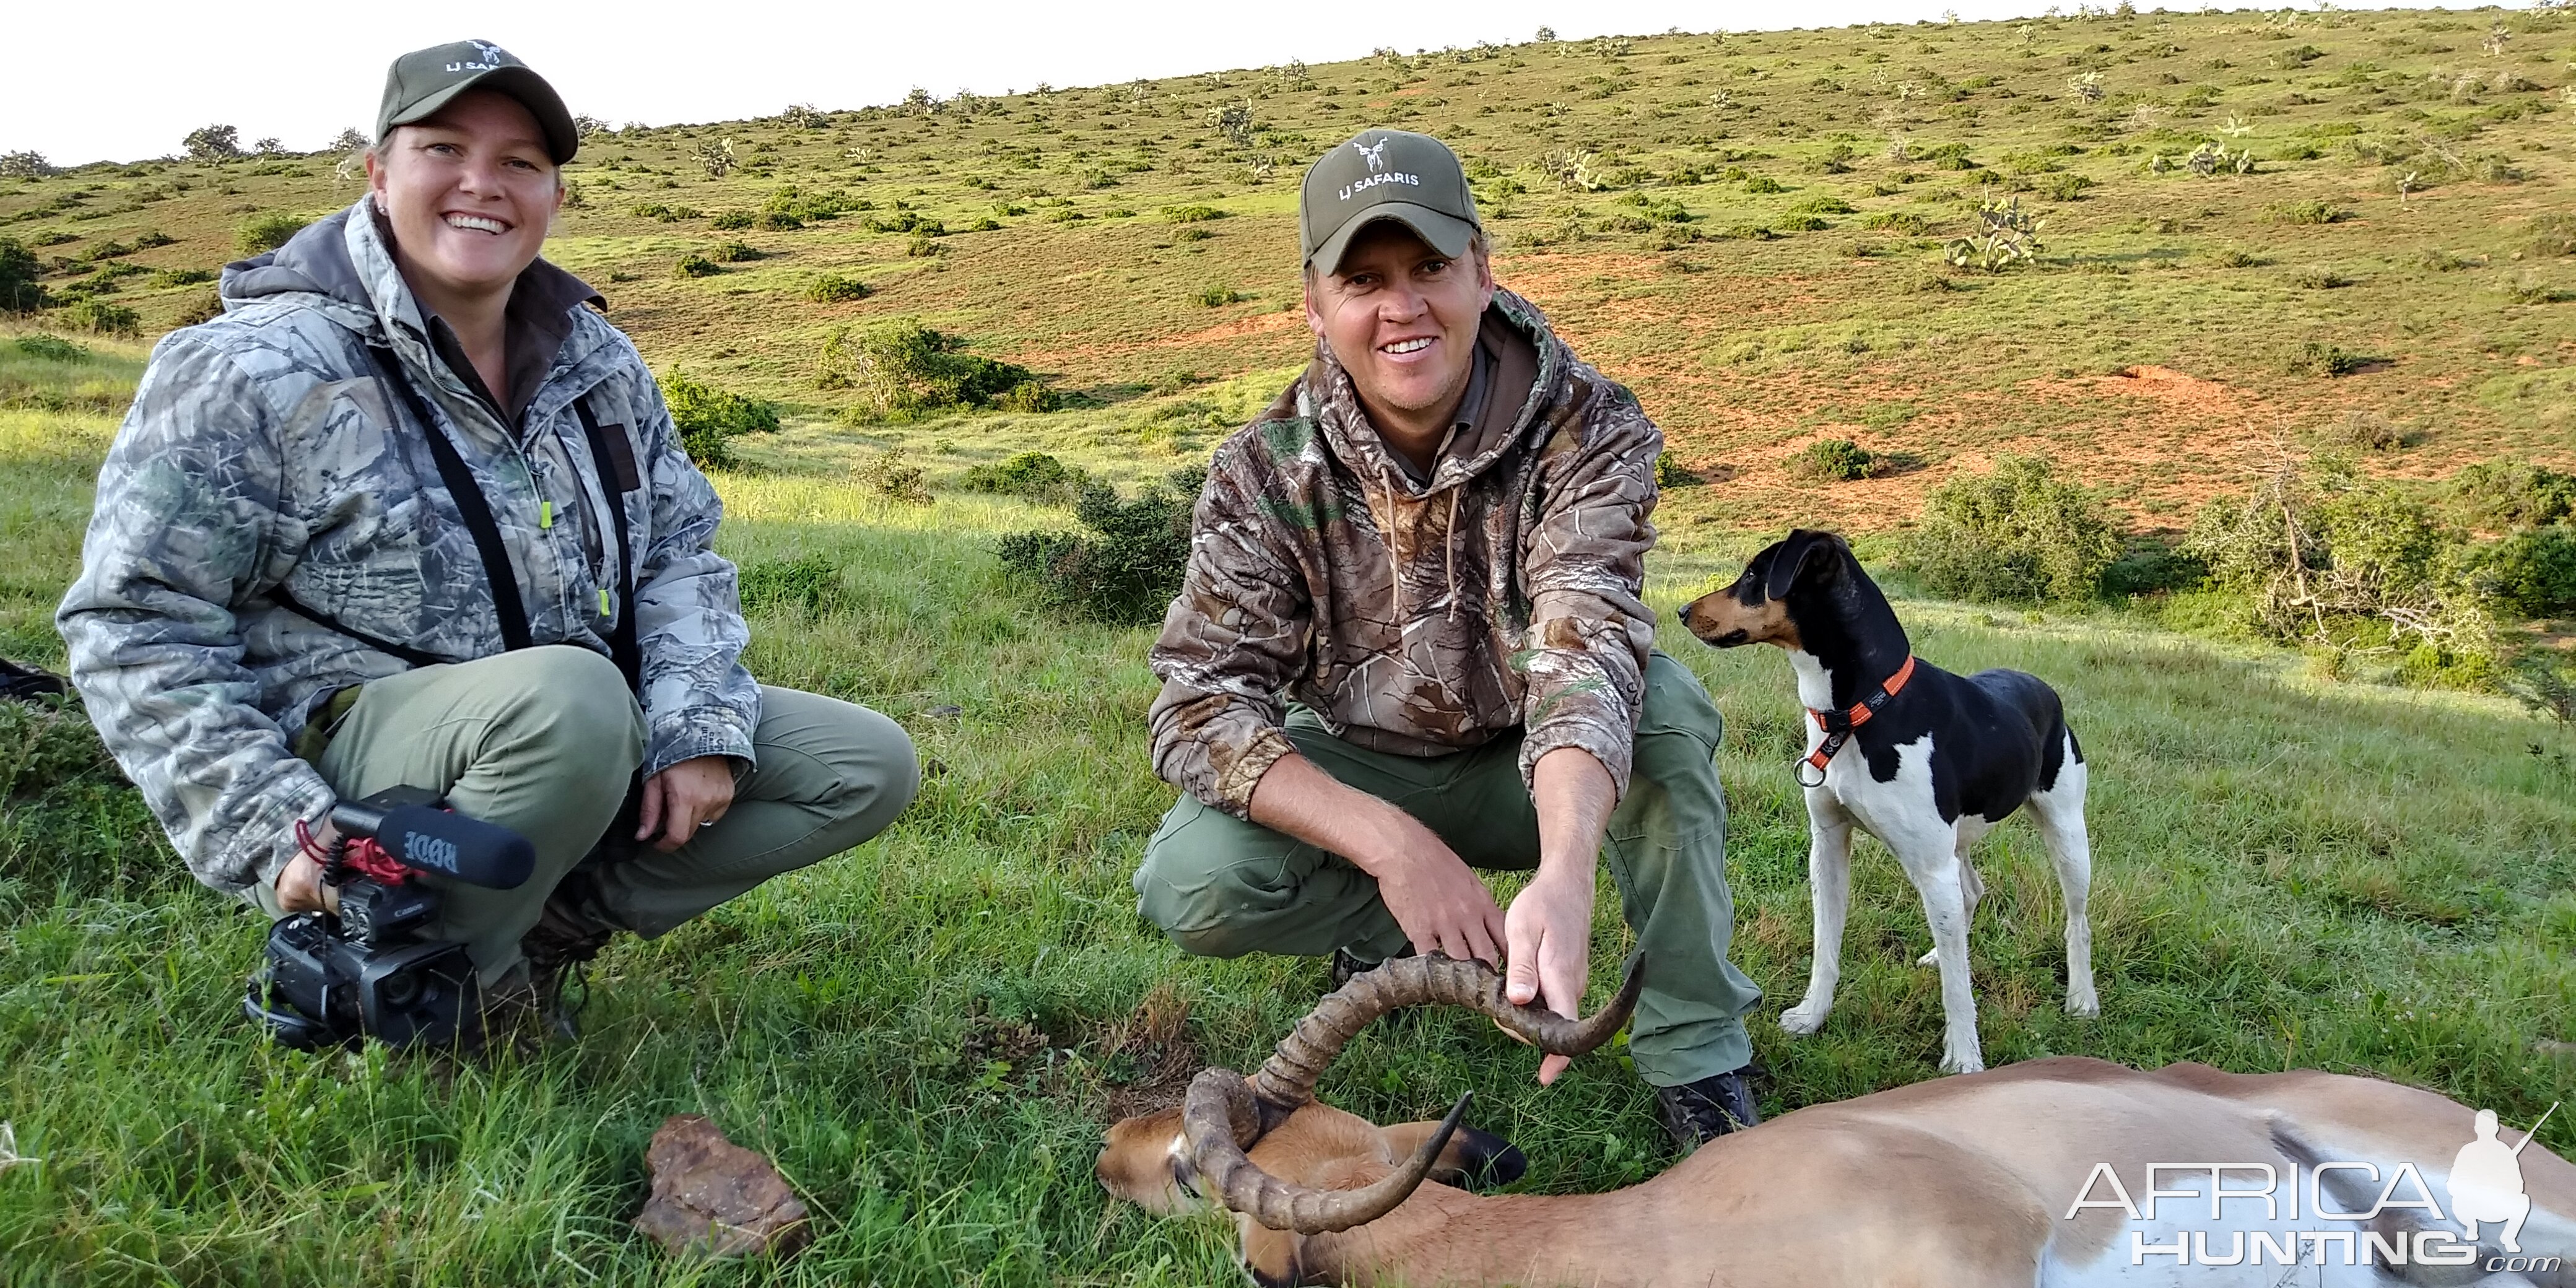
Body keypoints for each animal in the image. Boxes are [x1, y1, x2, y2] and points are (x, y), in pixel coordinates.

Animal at [1679, 528, 2102, 1071]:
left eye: (1755, 574)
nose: (1683, 610)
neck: (1860, 712)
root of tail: (2042, 687)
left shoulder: (1930, 866)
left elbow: (1958, 989)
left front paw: (1964, 1058)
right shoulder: (1829, 844)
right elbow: (1827, 945)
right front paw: (1812, 1016)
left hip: (2065, 832)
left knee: (2077, 921)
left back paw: (2082, 998)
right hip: (1955, 843)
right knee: (1971, 894)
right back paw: (1941, 953)